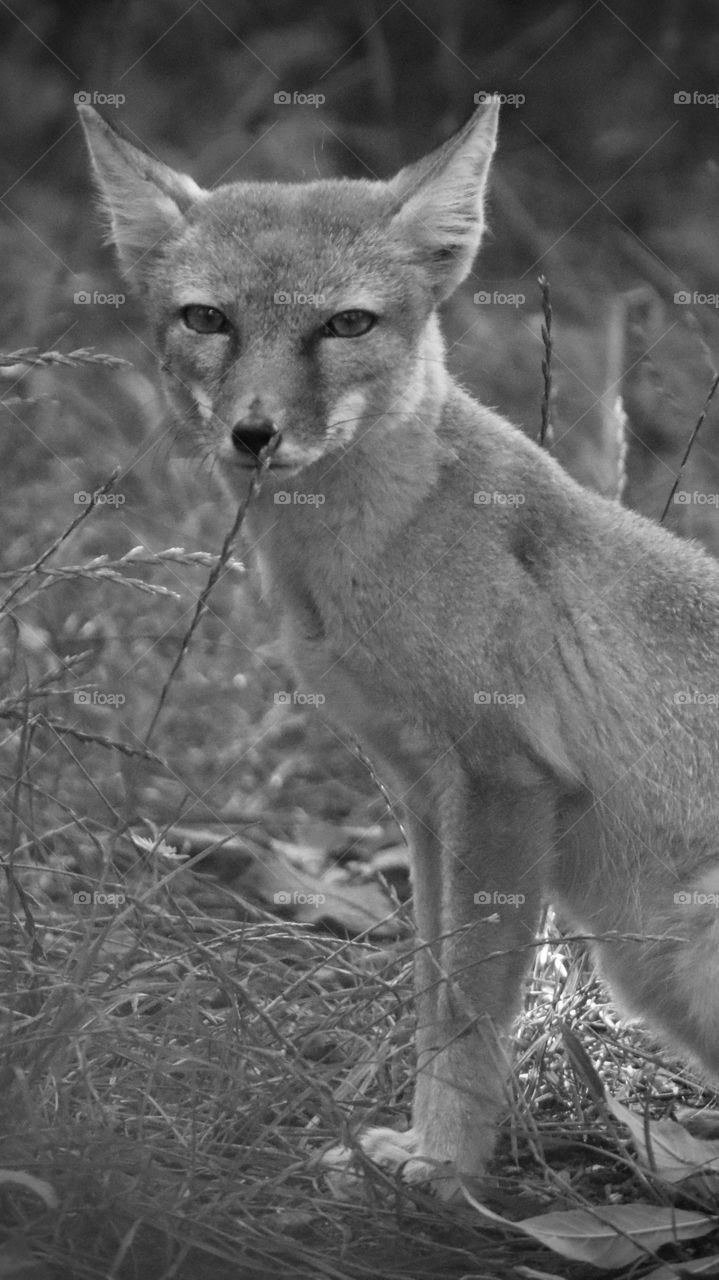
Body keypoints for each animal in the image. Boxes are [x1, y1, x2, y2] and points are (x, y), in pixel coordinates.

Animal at [79, 98, 719, 1195]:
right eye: (208, 320)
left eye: (346, 324)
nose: (254, 433)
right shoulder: (423, 799)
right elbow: (429, 992)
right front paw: (416, 1146)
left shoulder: (502, 784)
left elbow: (469, 1012)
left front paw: (445, 1168)